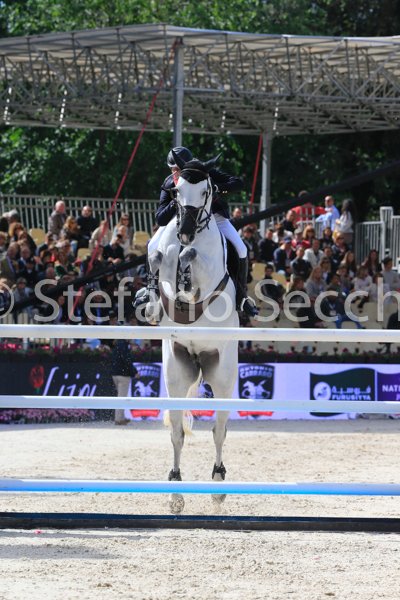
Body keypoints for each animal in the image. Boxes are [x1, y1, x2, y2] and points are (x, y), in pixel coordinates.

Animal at [147, 154, 239, 513]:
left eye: (206, 191)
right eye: (177, 191)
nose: (185, 232)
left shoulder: (208, 273)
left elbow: (193, 262)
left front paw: (187, 265)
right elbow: (161, 259)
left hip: (223, 374)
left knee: (219, 430)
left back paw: (218, 483)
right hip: (177, 370)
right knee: (177, 434)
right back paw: (175, 491)